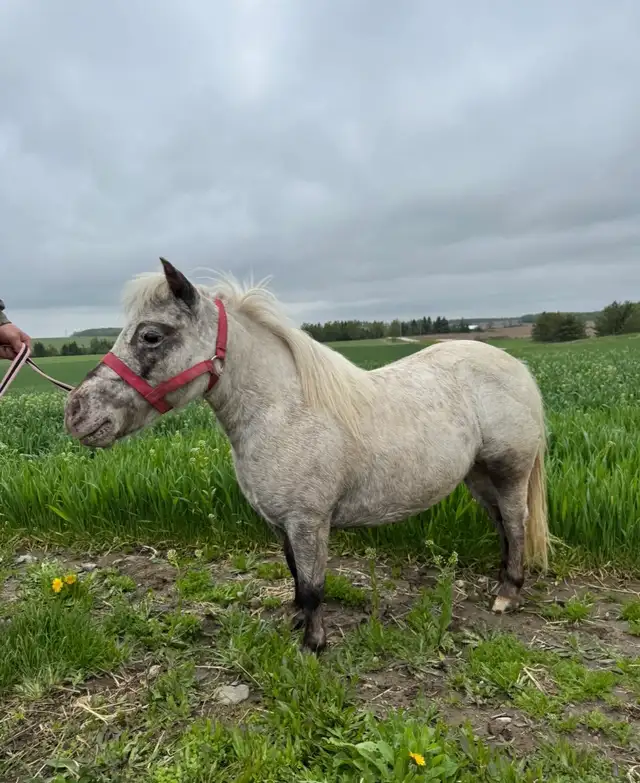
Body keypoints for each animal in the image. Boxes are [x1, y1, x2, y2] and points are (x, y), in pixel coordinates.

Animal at [64, 258, 550, 652]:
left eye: (151, 335)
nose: (76, 411)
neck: (284, 411)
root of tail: (515, 366)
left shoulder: (309, 520)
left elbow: (315, 585)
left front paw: (313, 645)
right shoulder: (283, 523)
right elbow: (296, 577)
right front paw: (297, 623)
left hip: (510, 471)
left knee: (516, 522)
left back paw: (508, 593)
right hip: (478, 476)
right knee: (503, 525)